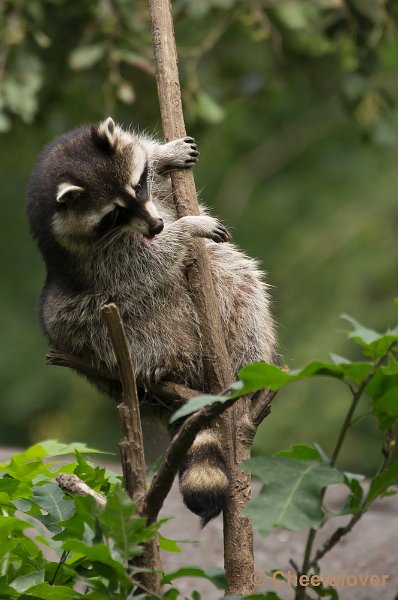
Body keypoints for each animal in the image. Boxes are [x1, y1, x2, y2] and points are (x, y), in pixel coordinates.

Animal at [27, 118, 276, 524]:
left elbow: (163, 184)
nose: (158, 226)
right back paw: (156, 363)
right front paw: (187, 228)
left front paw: (163, 155)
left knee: (234, 276)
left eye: (138, 186)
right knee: (75, 321)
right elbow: (144, 262)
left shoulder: (156, 199)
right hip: (72, 312)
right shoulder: (94, 259)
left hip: (234, 305)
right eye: (113, 215)